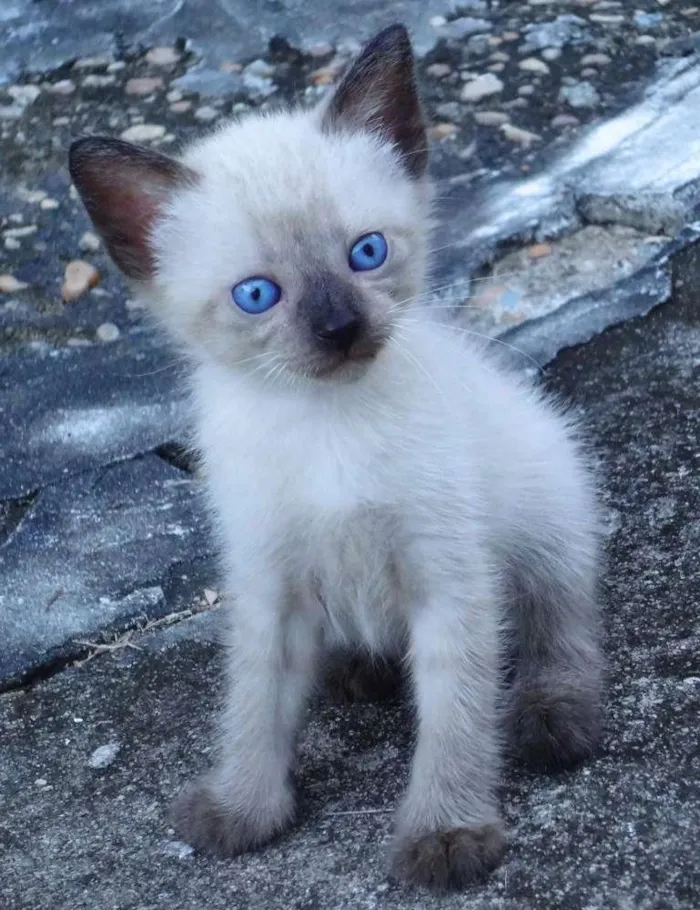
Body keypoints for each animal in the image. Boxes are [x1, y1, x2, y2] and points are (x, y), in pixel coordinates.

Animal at [72, 23, 608, 892]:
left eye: (367, 252)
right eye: (257, 295)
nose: (339, 329)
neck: (326, 425)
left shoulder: (449, 580)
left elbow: (456, 717)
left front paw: (447, 833)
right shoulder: (268, 585)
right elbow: (253, 708)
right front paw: (242, 809)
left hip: (546, 514)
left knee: (559, 627)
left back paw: (554, 718)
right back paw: (358, 667)